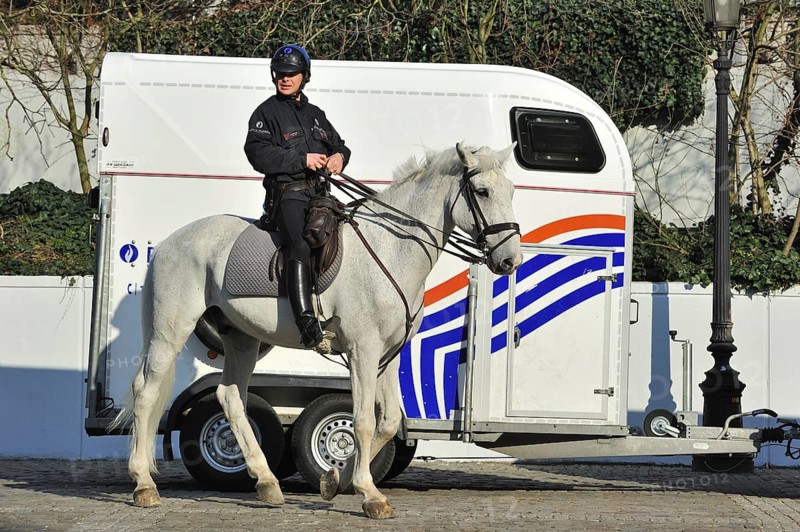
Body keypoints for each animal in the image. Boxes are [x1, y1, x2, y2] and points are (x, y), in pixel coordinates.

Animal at [117, 143, 522, 519]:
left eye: (511, 191)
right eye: (482, 192)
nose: (510, 260)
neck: (391, 250)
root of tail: (170, 242)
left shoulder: (389, 355)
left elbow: (389, 422)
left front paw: (334, 480)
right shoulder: (362, 350)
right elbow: (362, 422)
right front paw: (369, 494)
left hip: (242, 338)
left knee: (230, 396)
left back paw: (267, 483)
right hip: (171, 329)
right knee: (146, 391)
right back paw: (144, 485)